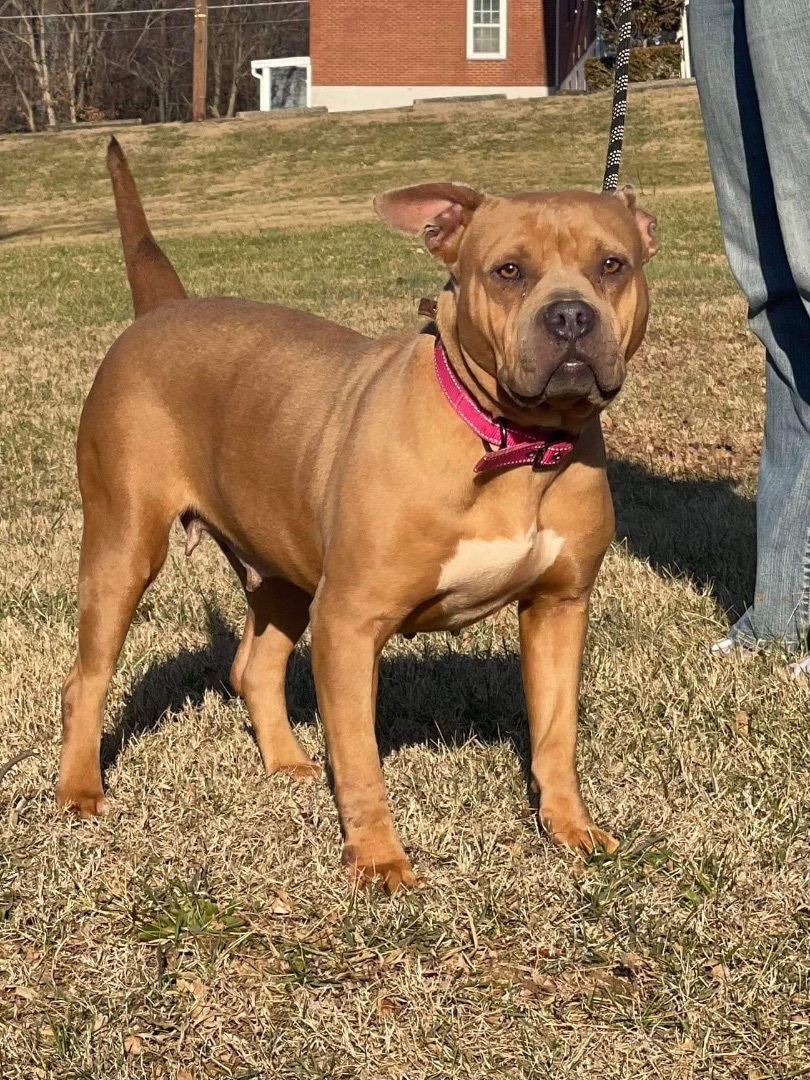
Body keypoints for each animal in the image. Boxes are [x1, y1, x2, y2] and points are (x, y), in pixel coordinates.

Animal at [57, 139, 656, 889]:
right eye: (509, 271)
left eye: (613, 265)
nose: (571, 316)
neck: (513, 443)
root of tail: (160, 312)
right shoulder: (349, 620)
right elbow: (361, 756)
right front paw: (377, 859)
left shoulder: (559, 608)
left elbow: (555, 734)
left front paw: (570, 828)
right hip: (124, 547)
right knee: (85, 679)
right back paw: (80, 791)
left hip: (281, 569)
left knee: (255, 668)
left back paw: (287, 763)